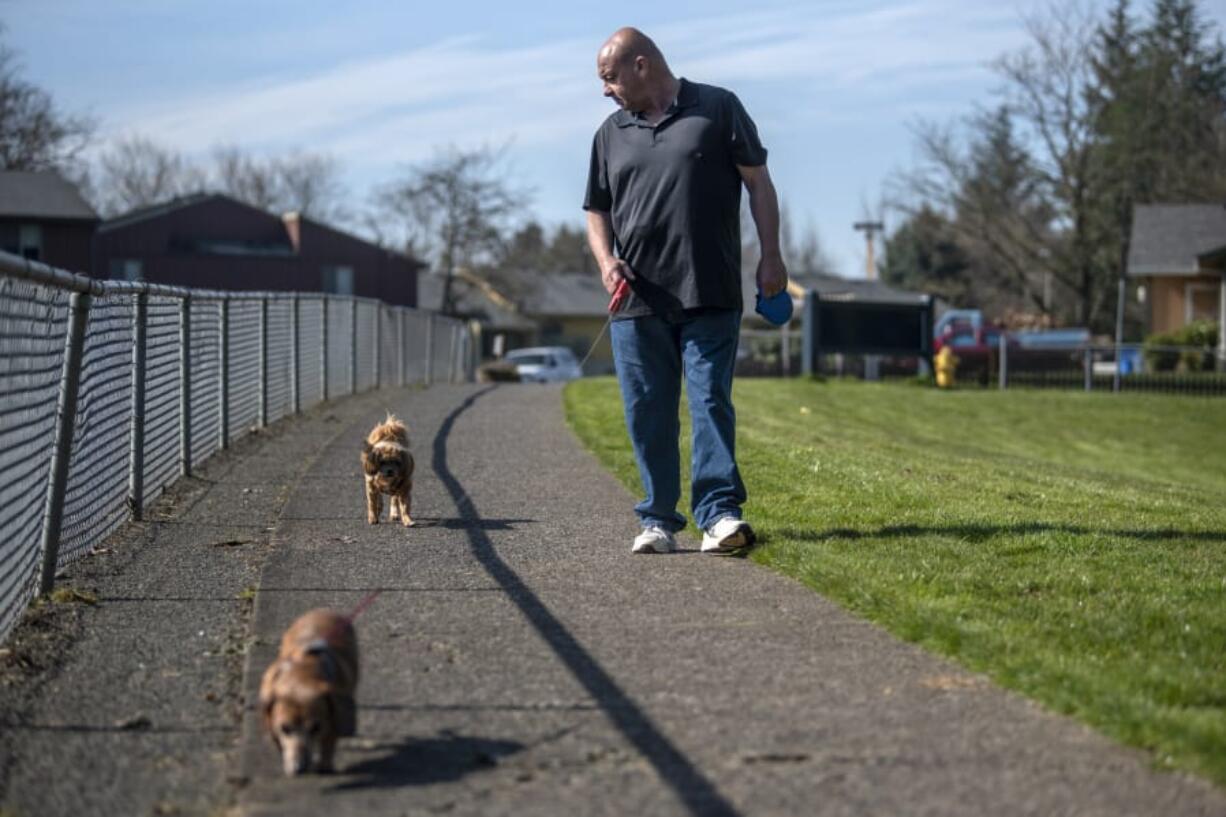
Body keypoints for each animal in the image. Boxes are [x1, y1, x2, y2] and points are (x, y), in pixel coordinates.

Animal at [256, 608, 357, 775]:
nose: (299, 768)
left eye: (316, 727)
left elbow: (328, 743)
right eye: (285, 728)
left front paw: (324, 766)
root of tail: (323, 611)